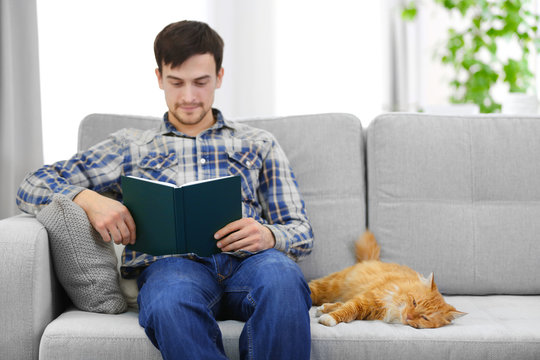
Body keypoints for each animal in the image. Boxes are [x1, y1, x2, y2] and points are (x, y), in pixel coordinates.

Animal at [310, 231, 466, 330]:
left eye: (424, 318)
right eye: (414, 302)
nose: (408, 316)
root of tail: (372, 260)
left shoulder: (366, 308)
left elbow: (348, 311)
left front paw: (328, 314)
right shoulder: (367, 299)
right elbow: (347, 309)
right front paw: (329, 319)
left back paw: (323, 308)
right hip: (331, 285)